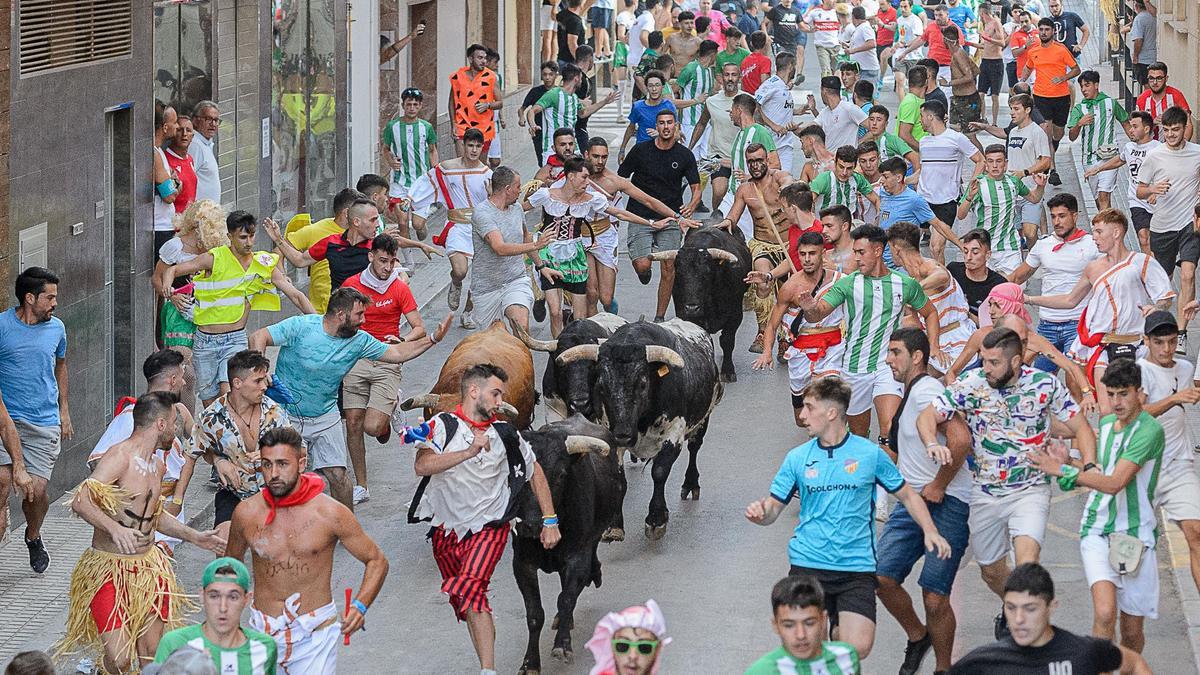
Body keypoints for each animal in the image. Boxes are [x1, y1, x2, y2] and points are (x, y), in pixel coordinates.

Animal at [508, 413, 624, 672]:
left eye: (561, 475)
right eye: (520, 474)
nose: (530, 525)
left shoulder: (577, 558)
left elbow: (566, 598)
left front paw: (562, 645)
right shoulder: (522, 564)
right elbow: (534, 613)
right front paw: (530, 663)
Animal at [554, 317, 720, 538]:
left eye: (642, 384)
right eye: (601, 386)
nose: (623, 434)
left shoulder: (673, 434)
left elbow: (659, 472)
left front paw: (656, 519)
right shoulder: (610, 434)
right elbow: (619, 478)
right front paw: (614, 525)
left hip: (703, 419)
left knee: (694, 448)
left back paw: (690, 484)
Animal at [648, 225, 748, 381]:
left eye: (706, 274)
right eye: (679, 273)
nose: (692, 308)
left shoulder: (735, 314)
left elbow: (727, 340)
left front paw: (728, 371)